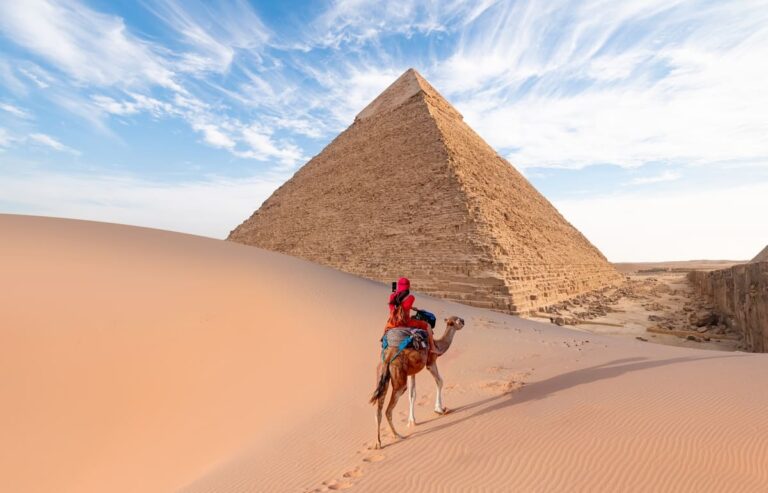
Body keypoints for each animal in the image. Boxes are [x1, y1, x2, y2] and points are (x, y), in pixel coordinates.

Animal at [369, 315, 465, 449]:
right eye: (457, 320)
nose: (464, 321)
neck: (437, 345)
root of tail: (388, 358)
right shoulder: (431, 362)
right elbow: (440, 381)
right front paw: (439, 409)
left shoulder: (412, 372)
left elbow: (412, 394)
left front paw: (412, 421)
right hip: (399, 381)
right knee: (388, 410)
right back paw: (397, 435)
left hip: (382, 377)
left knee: (379, 409)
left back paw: (378, 442)